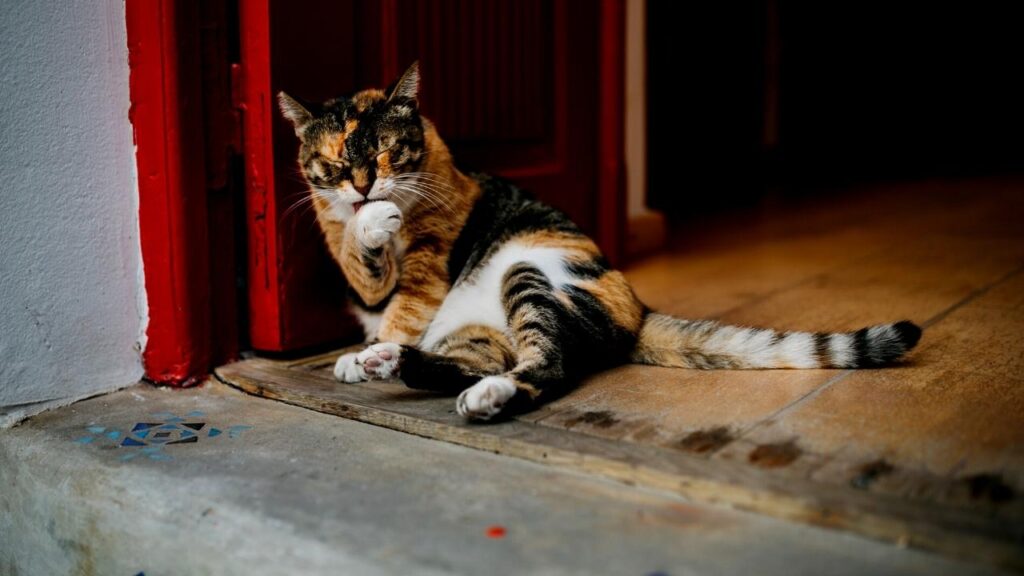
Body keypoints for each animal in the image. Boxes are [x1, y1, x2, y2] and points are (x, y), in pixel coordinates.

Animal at [278, 62, 921, 420]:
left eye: (388, 151)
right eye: (334, 162)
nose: (364, 186)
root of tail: (639, 308)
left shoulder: (430, 262)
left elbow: (405, 301)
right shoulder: (356, 270)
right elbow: (360, 264)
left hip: (528, 273)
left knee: (549, 365)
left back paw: (477, 392)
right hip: (478, 329)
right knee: (468, 363)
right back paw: (389, 360)